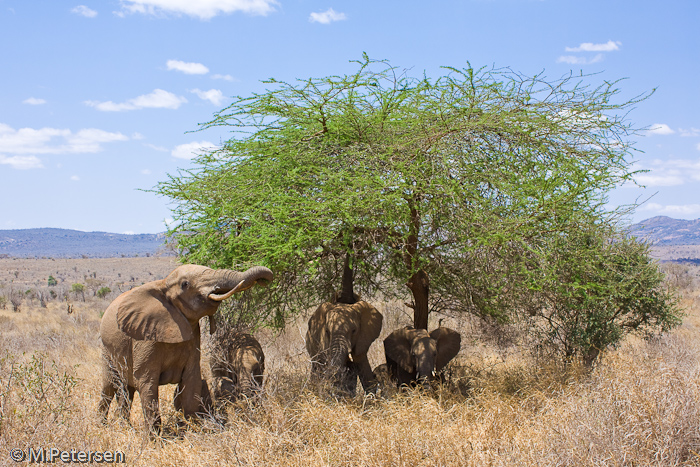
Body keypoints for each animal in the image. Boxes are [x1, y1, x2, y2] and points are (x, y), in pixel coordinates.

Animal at [97, 266, 272, 434]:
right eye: (185, 284)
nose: (263, 281)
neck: (164, 283)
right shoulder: (144, 338)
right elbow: (147, 385)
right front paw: (152, 440)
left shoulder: (193, 337)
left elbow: (191, 382)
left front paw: (190, 433)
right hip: (106, 349)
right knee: (109, 388)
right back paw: (102, 426)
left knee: (127, 390)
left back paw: (123, 426)